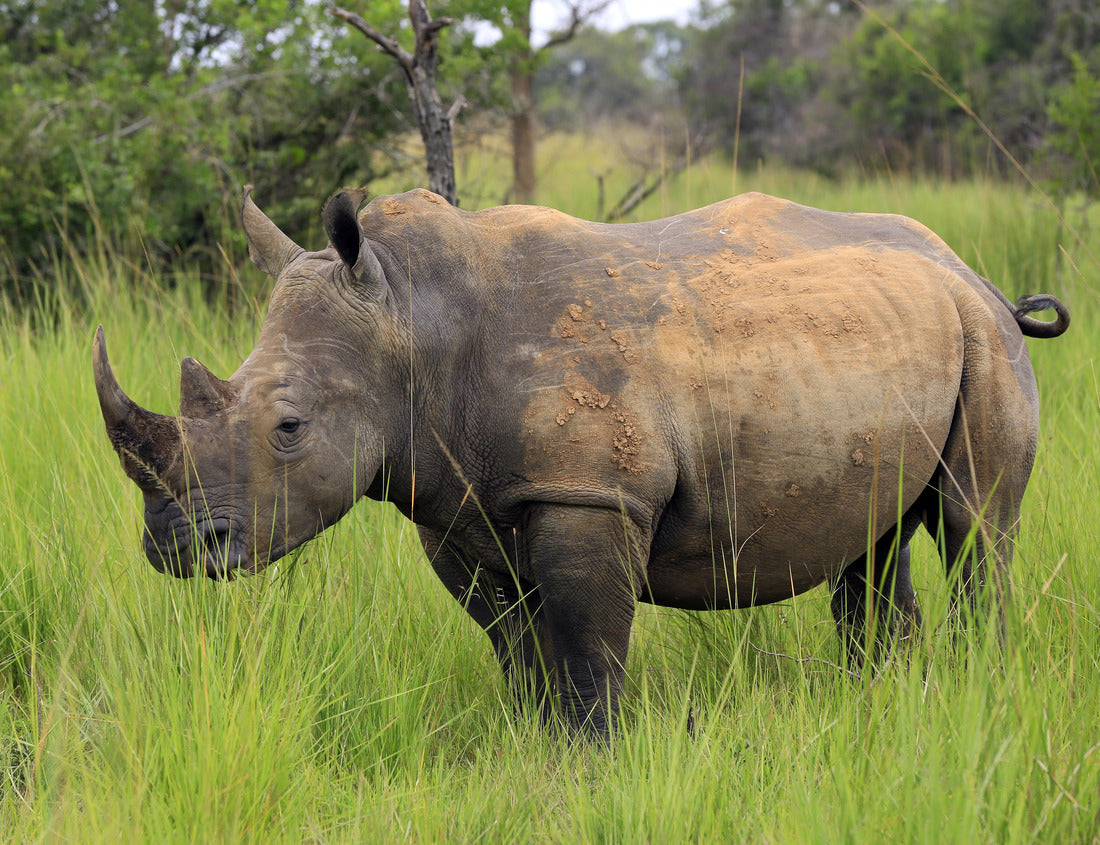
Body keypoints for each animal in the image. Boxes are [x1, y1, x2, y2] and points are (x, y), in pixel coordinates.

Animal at [93, 187, 1068, 738]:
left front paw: (594, 757)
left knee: (977, 525)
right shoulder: (455, 505)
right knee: (872, 541)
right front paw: (535, 745)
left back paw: (976, 684)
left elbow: (590, 645)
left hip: (982, 337)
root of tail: (970, 270)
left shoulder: (590, 494)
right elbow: (516, 644)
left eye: (289, 426)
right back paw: (883, 695)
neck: (411, 320)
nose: (175, 547)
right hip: (886, 339)